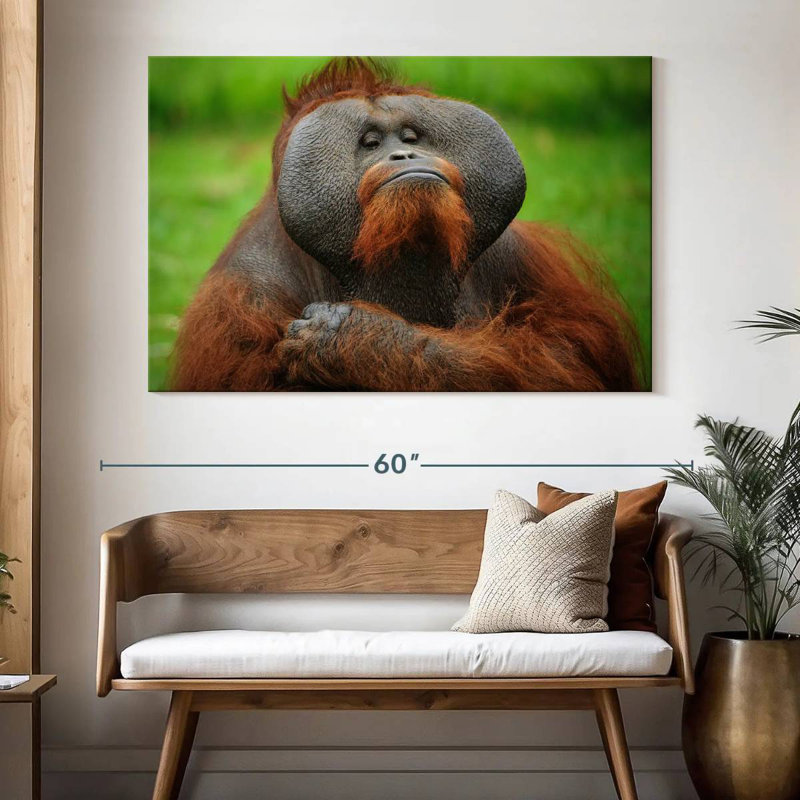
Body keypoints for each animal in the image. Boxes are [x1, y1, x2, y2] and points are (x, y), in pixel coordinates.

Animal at [171, 58, 643, 392]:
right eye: (371, 143)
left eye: (412, 137)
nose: (405, 155)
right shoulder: (241, 299)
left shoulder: (523, 259)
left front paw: (359, 341)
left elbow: (571, 361)